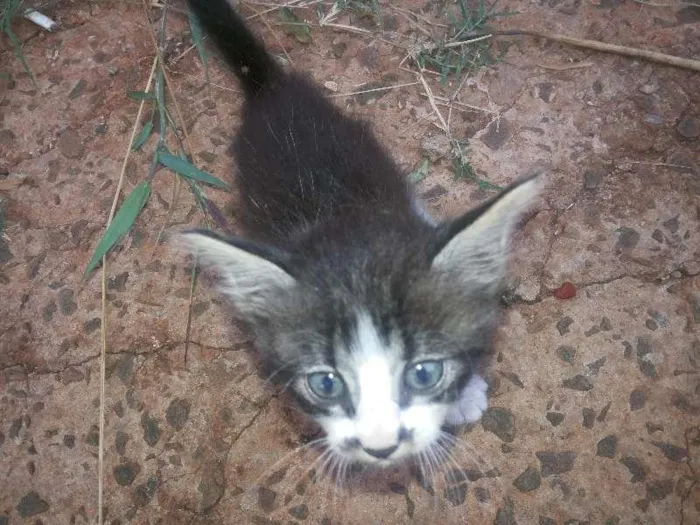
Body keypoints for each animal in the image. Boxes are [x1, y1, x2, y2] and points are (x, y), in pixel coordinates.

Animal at [182, 0, 540, 466]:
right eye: (326, 384)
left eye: (424, 374)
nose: (381, 448)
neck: (344, 215)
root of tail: (271, 89)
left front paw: (463, 396)